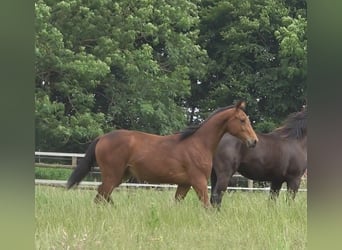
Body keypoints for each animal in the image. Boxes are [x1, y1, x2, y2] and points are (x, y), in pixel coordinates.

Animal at [67, 100, 258, 206]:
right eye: (242, 120)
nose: (254, 141)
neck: (198, 143)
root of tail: (102, 137)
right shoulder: (199, 181)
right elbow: (207, 205)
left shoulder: (184, 184)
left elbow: (177, 203)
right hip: (112, 175)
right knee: (101, 196)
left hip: (121, 176)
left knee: (103, 195)